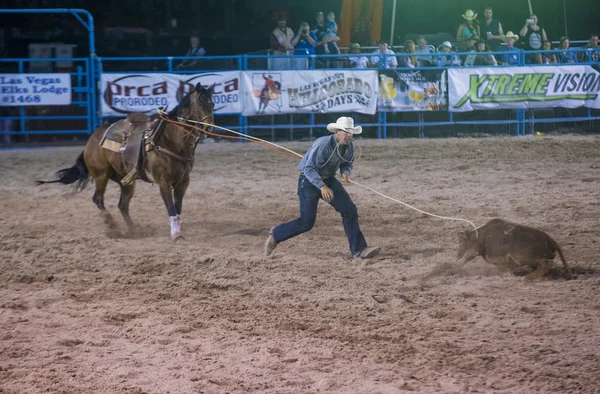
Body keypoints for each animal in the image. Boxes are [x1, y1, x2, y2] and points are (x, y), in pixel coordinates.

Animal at [39, 83, 214, 242]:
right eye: (200, 104)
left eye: (212, 104)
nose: (209, 129)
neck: (171, 140)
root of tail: (92, 140)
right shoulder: (163, 181)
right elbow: (171, 208)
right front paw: (177, 235)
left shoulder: (183, 181)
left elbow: (178, 208)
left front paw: (178, 229)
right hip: (101, 175)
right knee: (98, 199)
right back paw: (112, 226)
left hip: (126, 181)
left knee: (122, 205)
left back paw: (134, 230)